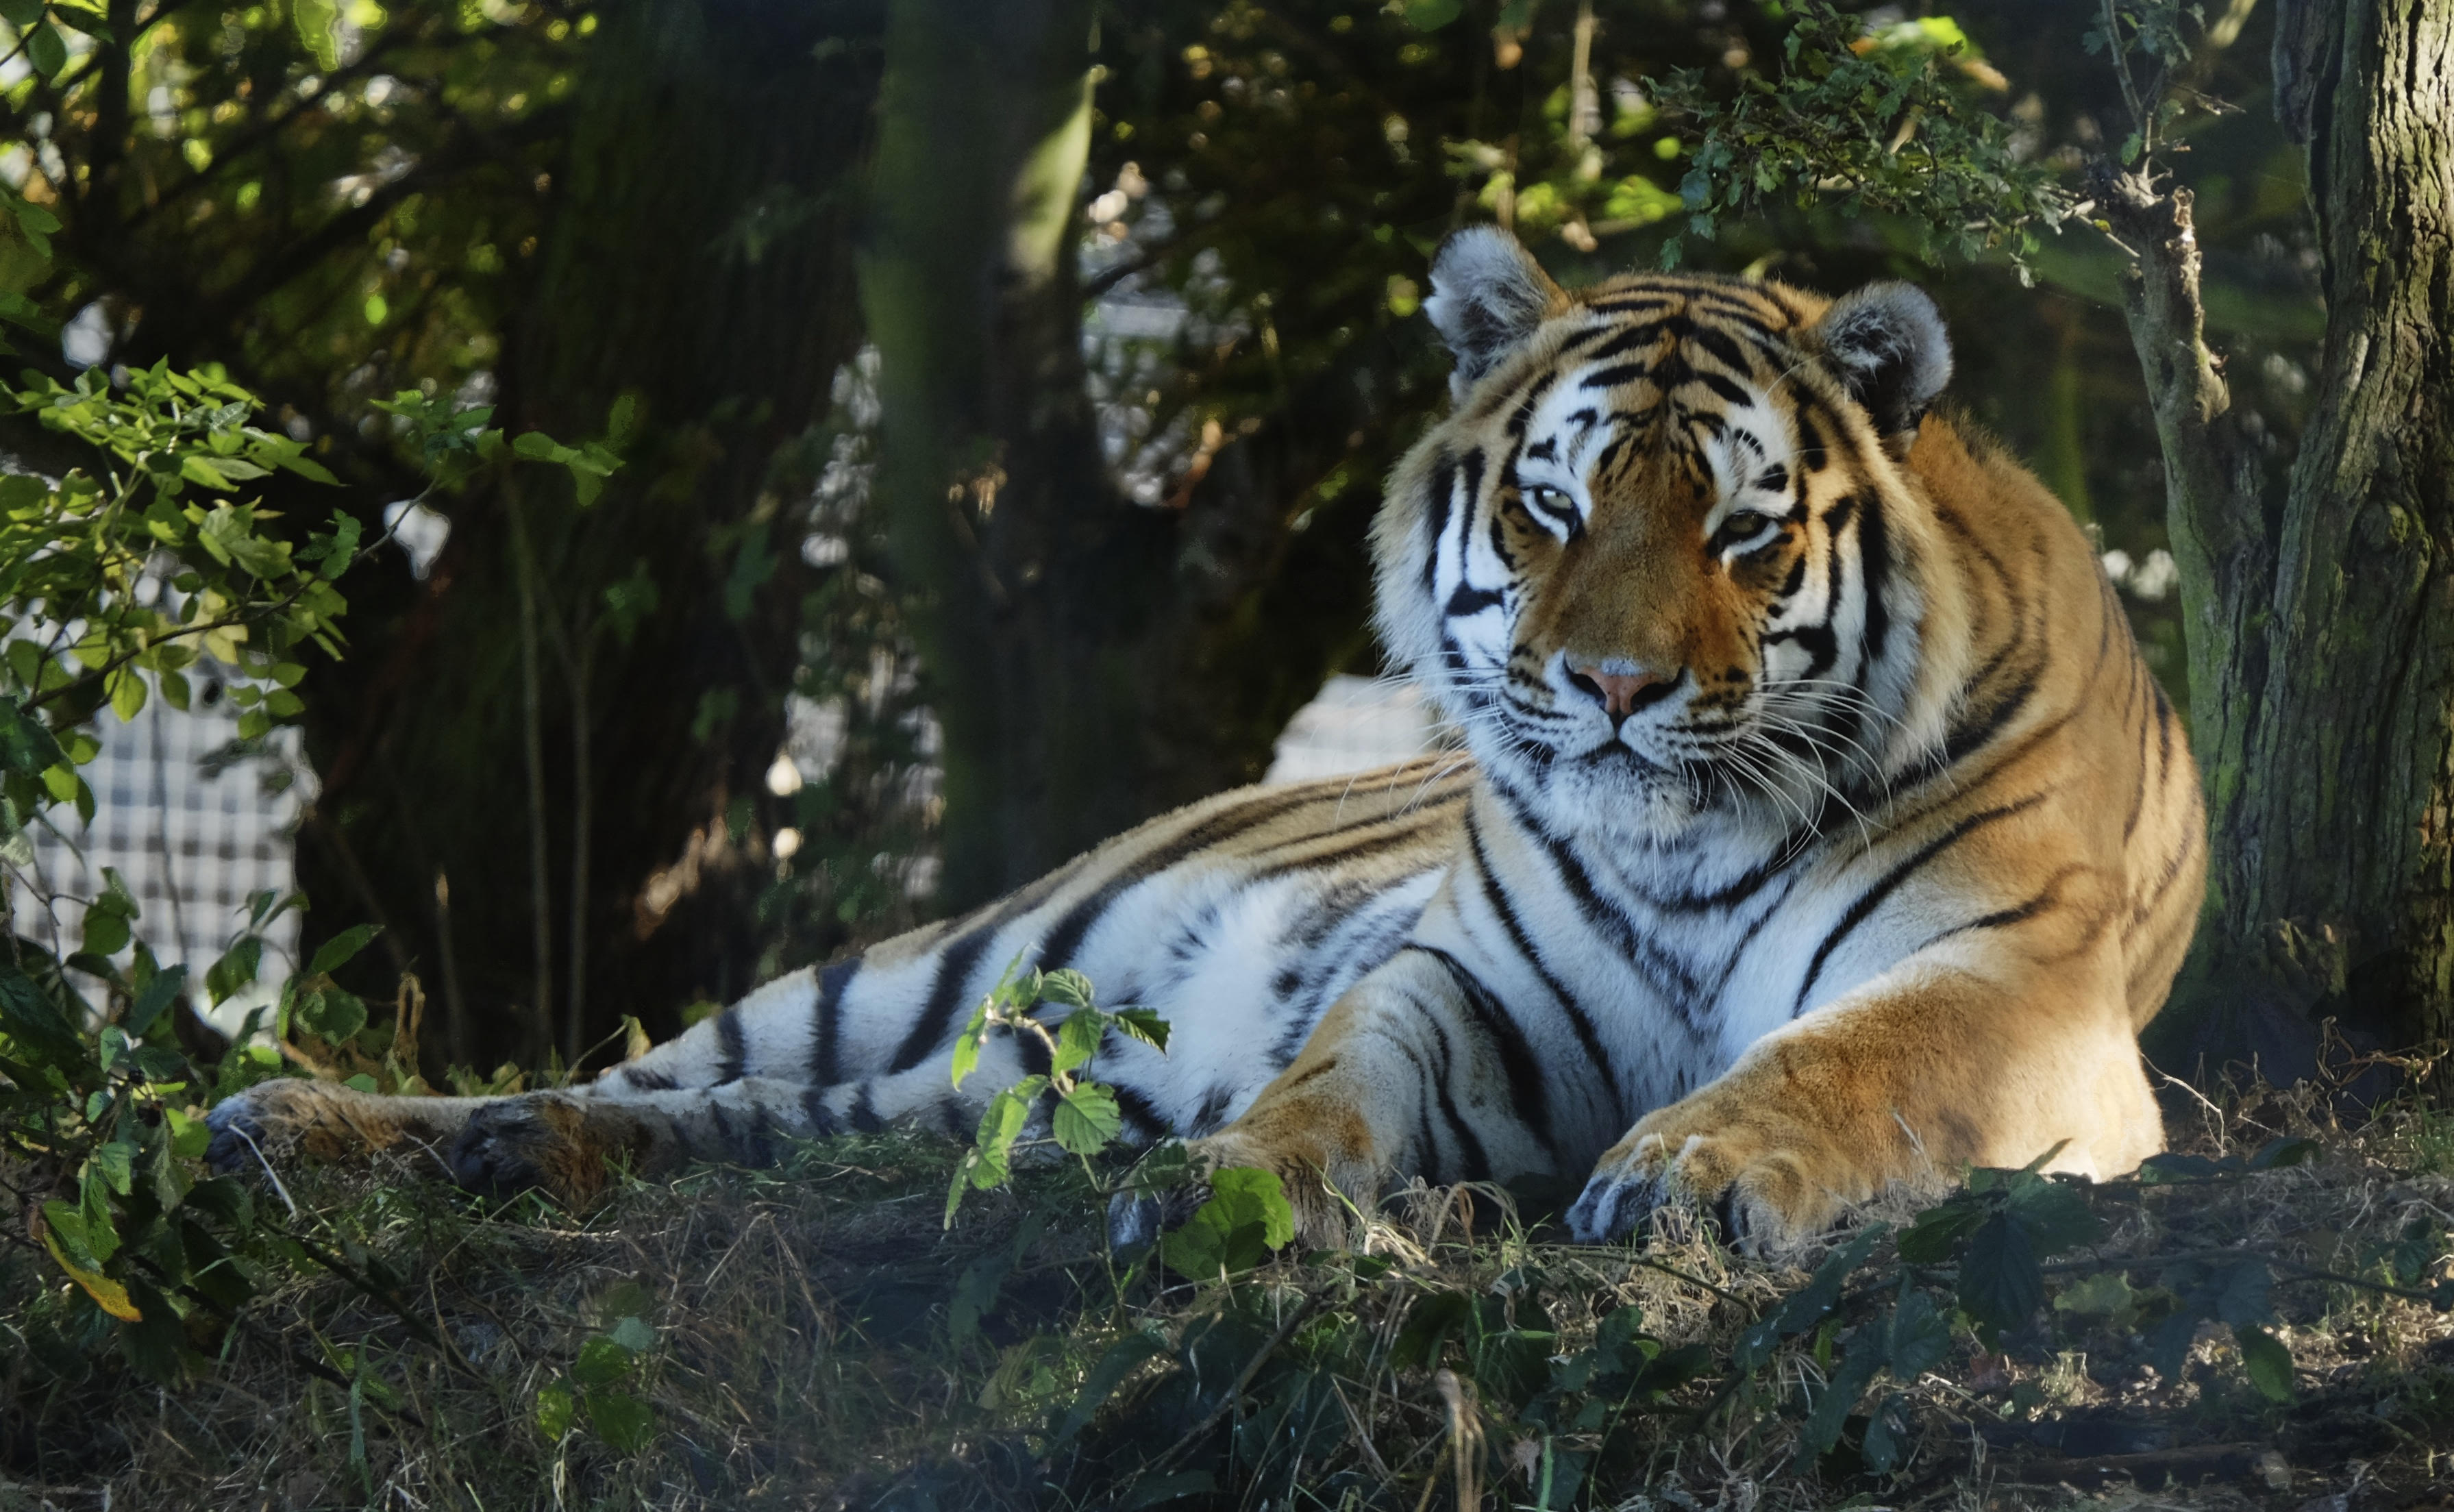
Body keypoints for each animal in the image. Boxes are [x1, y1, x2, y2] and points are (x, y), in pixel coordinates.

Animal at [211, 227, 2208, 1252]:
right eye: (1554, 506)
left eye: (1737, 530)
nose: (1613, 688)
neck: (1677, 845)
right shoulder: (1465, 981)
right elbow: (1328, 1076)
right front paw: (1232, 1185)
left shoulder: (2005, 984)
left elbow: (1846, 1063)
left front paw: (1688, 1171)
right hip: (921, 968)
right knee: (646, 1066)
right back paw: (318, 1125)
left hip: (952, 1068)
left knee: (774, 1121)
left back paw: (510, 1157)